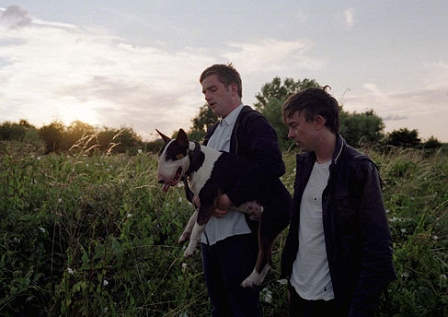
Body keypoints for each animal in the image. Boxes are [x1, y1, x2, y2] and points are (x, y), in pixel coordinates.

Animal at [158, 128, 290, 286]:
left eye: (170, 157)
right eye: (160, 157)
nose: (159, 180)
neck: (197, 161)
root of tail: (291, 202)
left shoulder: (208, 202)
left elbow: (197, 227)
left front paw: (189, 249)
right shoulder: (201, 203)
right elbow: (192, 220)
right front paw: (184, 235)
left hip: (268, 226)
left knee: (263, 256)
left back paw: (249, 280)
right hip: (261, 225)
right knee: (267, 258)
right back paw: (256, 281)